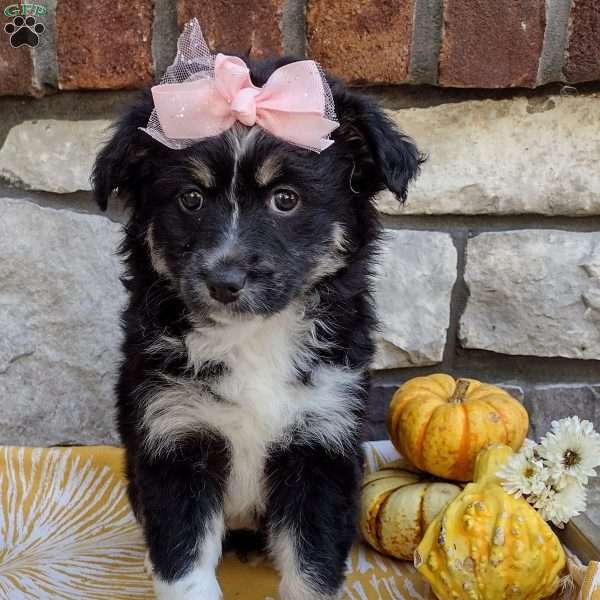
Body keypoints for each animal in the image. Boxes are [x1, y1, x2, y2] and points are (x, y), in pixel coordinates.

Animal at [92, 52, 422, 600]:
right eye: (191, 199)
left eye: (285, 199)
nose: (224, 281)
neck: (253, 337)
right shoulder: (173, 436)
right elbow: (183, 566)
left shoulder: (321, 442)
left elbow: (312, 569)